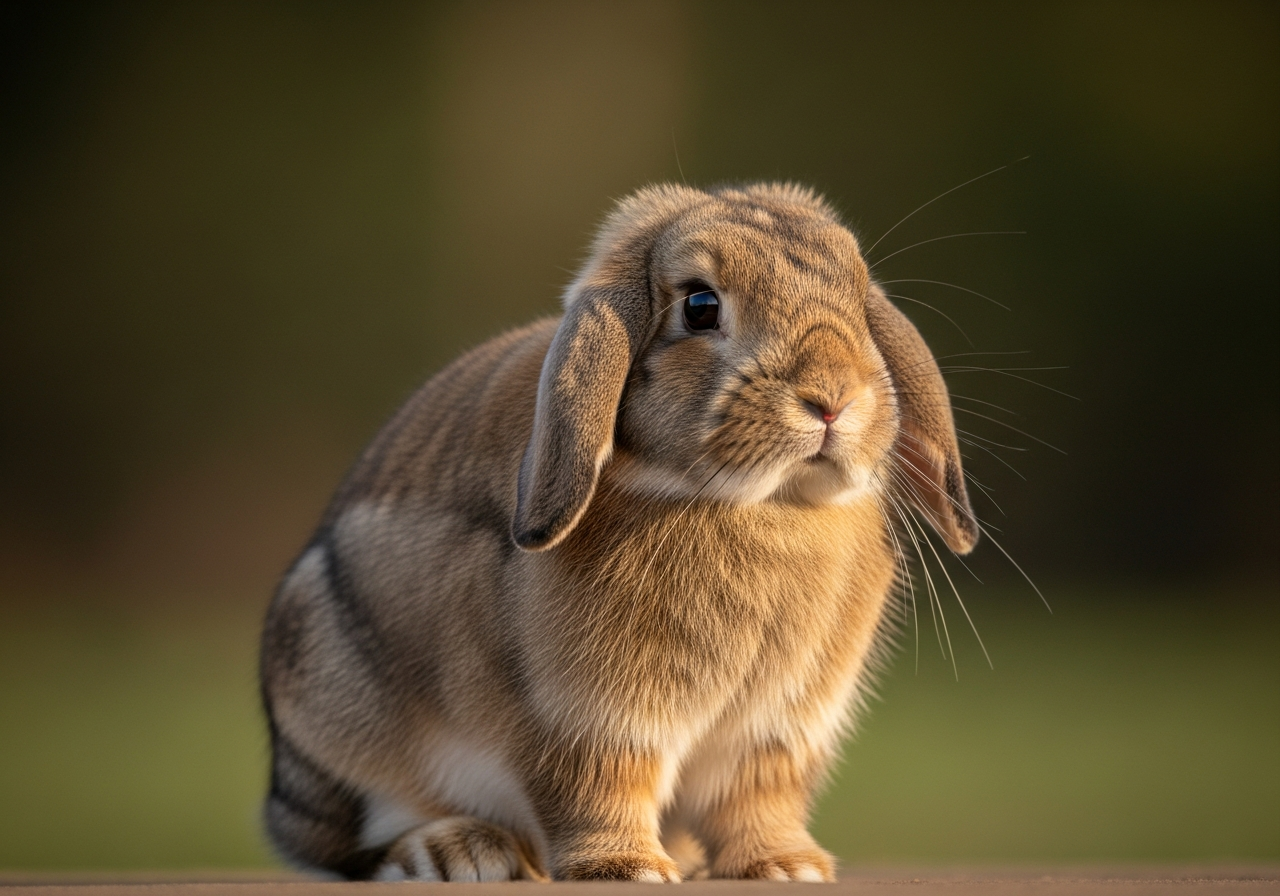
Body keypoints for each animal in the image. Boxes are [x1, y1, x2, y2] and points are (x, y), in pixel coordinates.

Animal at [259, 181, 977, 883]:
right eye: (700, 306)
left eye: (859, 301)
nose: (832, 397)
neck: (761, 502)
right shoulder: (587, 719)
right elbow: (599, 786)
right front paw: (626, 867)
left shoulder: (774, 730)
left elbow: (754, 799)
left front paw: (786, 865)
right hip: (337, 711)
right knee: (355, 844)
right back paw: (462, 853)